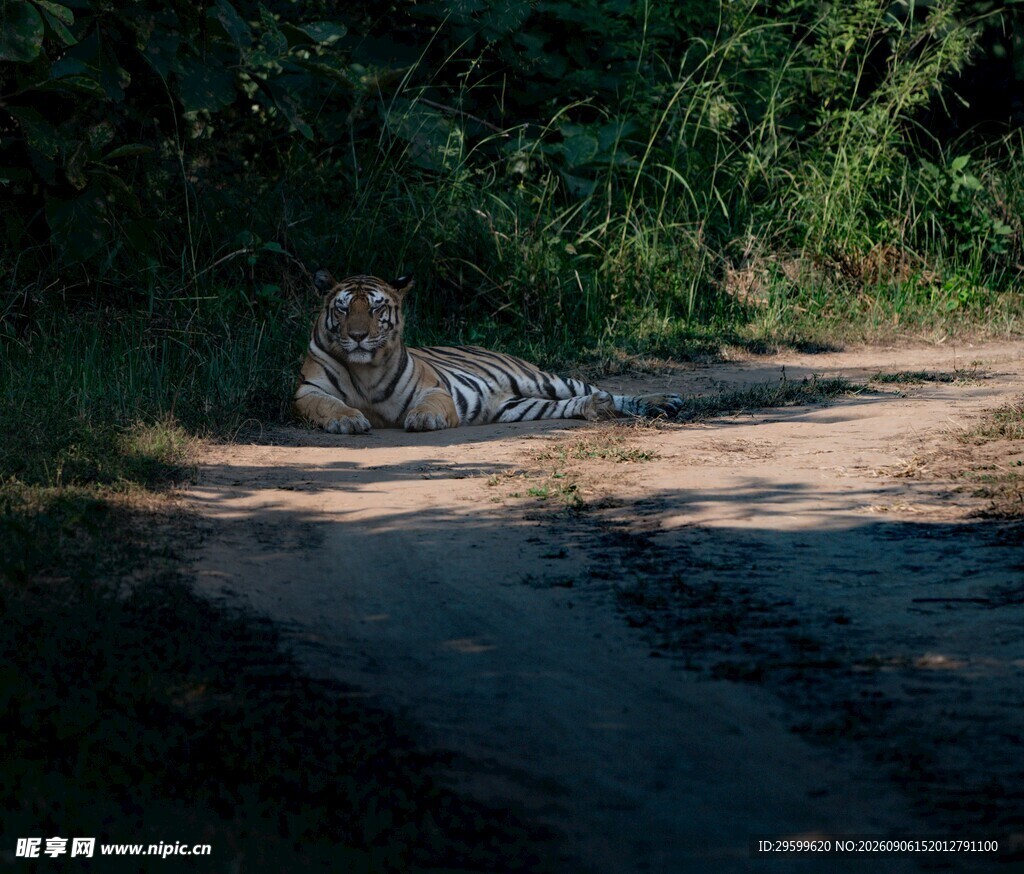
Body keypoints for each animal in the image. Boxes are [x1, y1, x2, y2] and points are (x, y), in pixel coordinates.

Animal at [293, 271, 685, 433]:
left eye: (376, 308)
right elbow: (329, 405)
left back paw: (663, 401)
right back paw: (597, 408)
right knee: (575, 403)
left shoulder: (432, 388)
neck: (366, 369)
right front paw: (347, 420)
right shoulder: (307, 392)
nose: (359, 336)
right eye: (343, 309)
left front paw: (424, 419)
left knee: (601, 390)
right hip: (516, 406)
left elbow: (429, 404)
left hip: (542, 379)